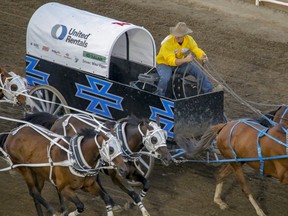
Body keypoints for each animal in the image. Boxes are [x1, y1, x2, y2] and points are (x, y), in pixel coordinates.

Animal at [0, 122, 128, 215]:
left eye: (121, 146)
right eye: (111, 149)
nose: (124, 169)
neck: (75, 157)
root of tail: (12, 133)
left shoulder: (89, 186)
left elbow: (106, 198)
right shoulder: (64, 189)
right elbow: (80, 206)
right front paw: (67, 213)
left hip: (38, 173)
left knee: (36, 193)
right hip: (23, 168)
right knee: (34, 192)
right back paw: (52, 211)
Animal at [20, 112, 173, 215]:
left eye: (165, 136)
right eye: (154, 139)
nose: (167, 158)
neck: (124, 141)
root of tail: (58, 119)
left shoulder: (131, 172)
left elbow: (146, 184)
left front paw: (133, 205)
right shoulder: (116, 176)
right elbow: (133, 193)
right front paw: (132, 205)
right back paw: (64, 209)